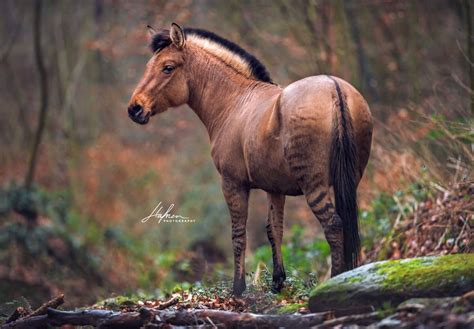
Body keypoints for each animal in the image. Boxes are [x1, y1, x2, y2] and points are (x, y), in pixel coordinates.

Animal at [128, 23, 372, 294]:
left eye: (168, 67)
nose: (134, 108)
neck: (233, 102)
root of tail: (334, 89)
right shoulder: (275, 188)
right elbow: (274, 229)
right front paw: (277, 281)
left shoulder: (233, 184)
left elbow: (238, 234)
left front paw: (238, 288)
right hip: (348, 181)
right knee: (347, 223)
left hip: (314, 185)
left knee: (333, 225)